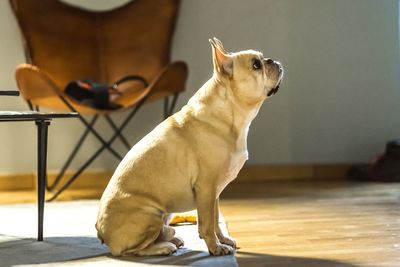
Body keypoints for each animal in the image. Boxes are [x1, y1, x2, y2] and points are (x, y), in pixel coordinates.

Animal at [96, 38, 284, 258]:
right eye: (256, 65)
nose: (272, 60)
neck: (229, 114)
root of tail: (102, 234)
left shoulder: (214, 194)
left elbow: (215, 219)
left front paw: (223, 240)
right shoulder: (206, 188)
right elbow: (207, 224)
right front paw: (216, 248)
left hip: (165, 216)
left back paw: (172, 239)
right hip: (150, 216)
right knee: (133, 251)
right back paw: (163, 247)